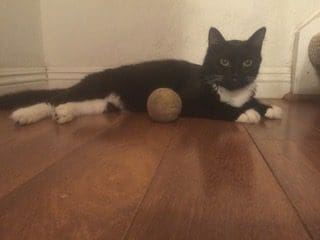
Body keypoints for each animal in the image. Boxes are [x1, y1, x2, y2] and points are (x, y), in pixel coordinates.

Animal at [0, 27, 280, 125]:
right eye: (224, 62)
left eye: (248, 62)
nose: (236, 76)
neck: (230, 92)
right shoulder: (190, 99)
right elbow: (216, 107)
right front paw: (247, 113)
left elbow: (251, 100)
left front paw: (269, 108)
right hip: (96, 85)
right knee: (54, 98)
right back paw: (25, 115)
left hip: (108, 101)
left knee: (85, 105)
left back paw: (66, 113)